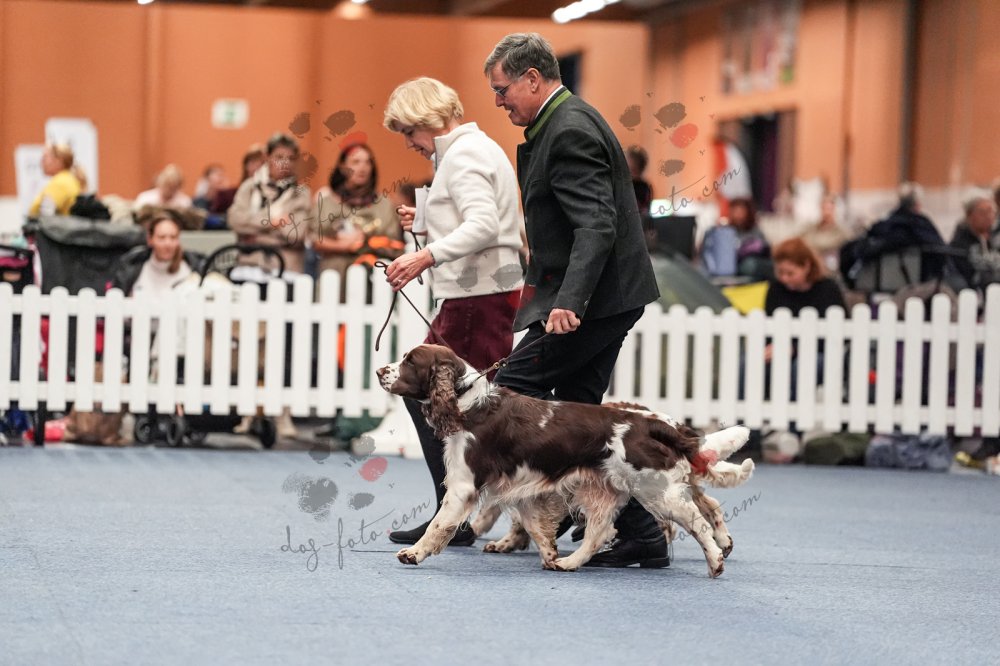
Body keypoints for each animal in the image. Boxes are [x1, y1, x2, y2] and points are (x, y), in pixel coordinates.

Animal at [376, 344, 754, 577]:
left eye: (410, 361)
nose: (380, 370)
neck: (467, 405)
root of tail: (655, 422)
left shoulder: (463, 485)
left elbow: (440, 525)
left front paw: (414, 553)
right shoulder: (522, 483)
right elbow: (534, 526)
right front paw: (548, 555)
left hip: (655, 490)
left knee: (697, 520)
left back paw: (716, 560)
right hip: (607, 490)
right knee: (599, 533)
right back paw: (570, 563)